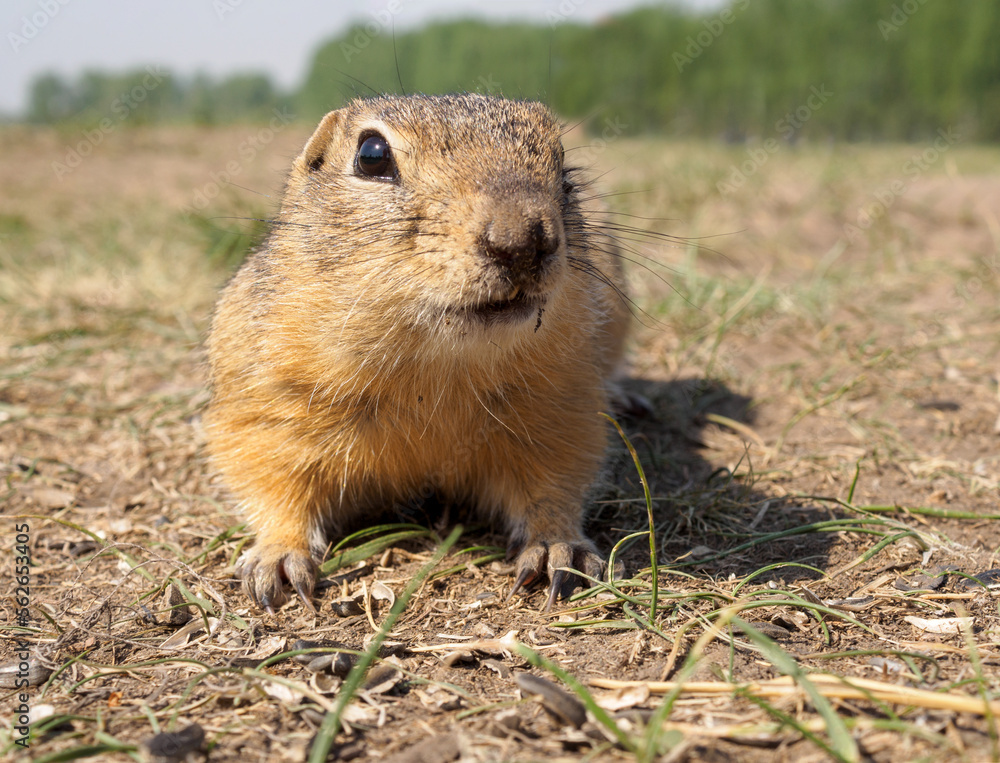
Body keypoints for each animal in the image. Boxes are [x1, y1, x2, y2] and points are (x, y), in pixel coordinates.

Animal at [206, 91, 628, 616]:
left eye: (563, 163)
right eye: (371, 155)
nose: (523, 240)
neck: (432, 366)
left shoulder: (563, 407)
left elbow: (557, 481)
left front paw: (557, 548)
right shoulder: (263, 403)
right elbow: (268, 479)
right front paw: (277, 557)